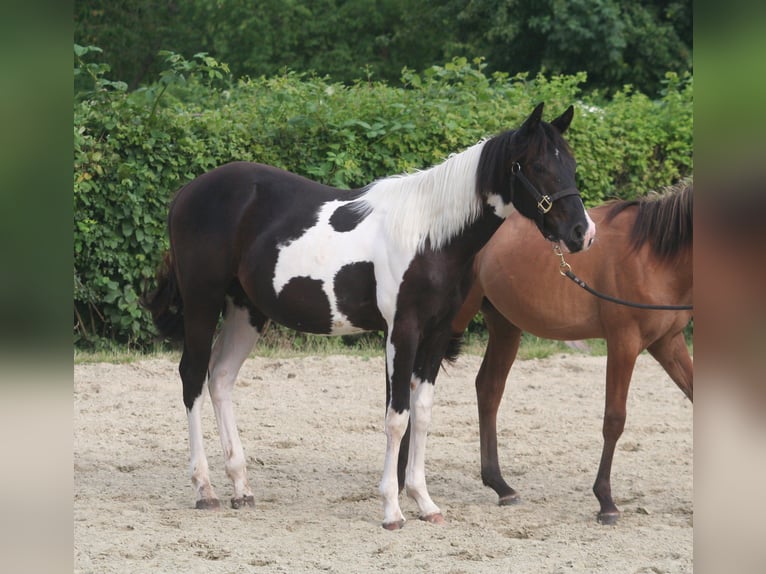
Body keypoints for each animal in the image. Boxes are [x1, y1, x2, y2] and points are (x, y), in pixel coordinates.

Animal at [141, 102, 596, 530]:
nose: (582, 232)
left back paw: (241, 487)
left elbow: (422, 414)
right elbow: (397, 418)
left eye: (572, 165)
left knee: (220, 378)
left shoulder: (435, 334)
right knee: (192, 378)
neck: (430, 236)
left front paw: (425, 503)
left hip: (246, 310)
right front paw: (392, 510)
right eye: (537, 166)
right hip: (202, 302)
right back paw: (205, 488)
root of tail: (187, 191)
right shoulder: (402, 331)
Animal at [447, 181, 692, 525]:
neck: (655, 256)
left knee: (488, 389)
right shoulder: (623, 342)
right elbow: (614, 419)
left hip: (505, 326)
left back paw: (500, 485)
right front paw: (606, 501)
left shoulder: (668, 342)